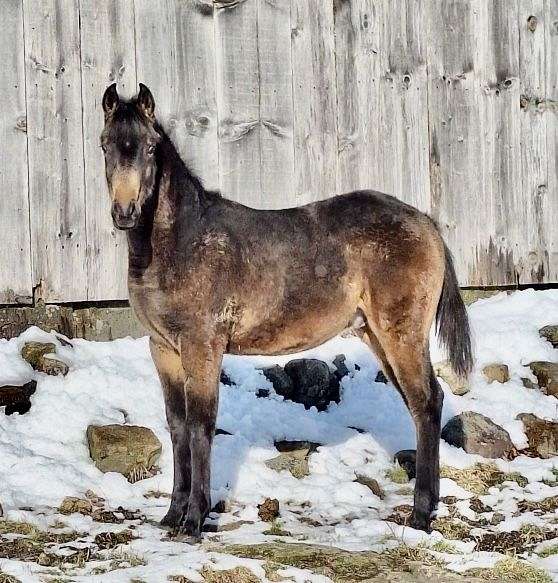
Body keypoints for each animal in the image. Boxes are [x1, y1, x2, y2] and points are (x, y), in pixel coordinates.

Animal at [99, 83, 472, 544]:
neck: (184, 241)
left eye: (150, 148)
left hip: (401, 333)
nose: (124, 212)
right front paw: (171, 516)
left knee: (426, 401)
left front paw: (194, 521)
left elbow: (202, 424)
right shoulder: (163, 348)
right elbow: (178, 425)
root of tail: (426, 223)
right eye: (105, 145)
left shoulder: (202, 346)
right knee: (421, 404)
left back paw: (420, 516)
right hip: (377, 335)